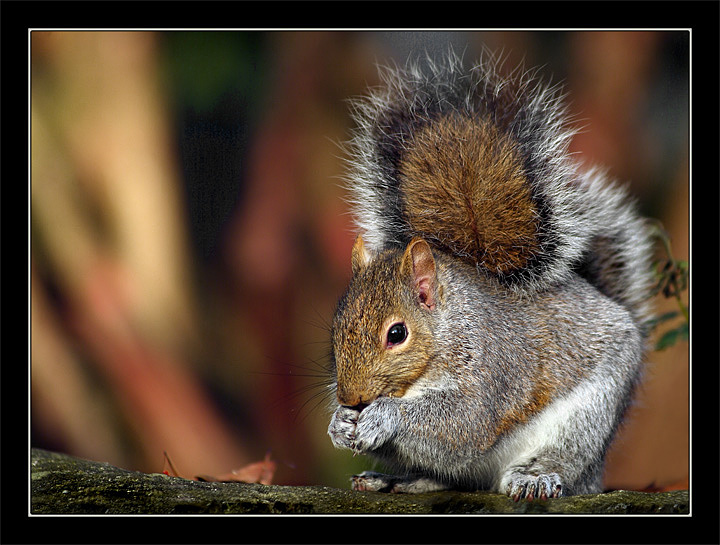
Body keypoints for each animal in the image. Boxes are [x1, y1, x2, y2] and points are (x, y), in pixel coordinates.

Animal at [330, 49, 656, 500]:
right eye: (336, 326)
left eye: (397, 334)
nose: (352, 397)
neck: (446, 332)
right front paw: (340, 423)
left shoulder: (492, 367)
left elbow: (463, 423)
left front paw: (383, 415)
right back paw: (398, 480)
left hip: (588, 418)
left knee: (565, 459)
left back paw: (536, 477)